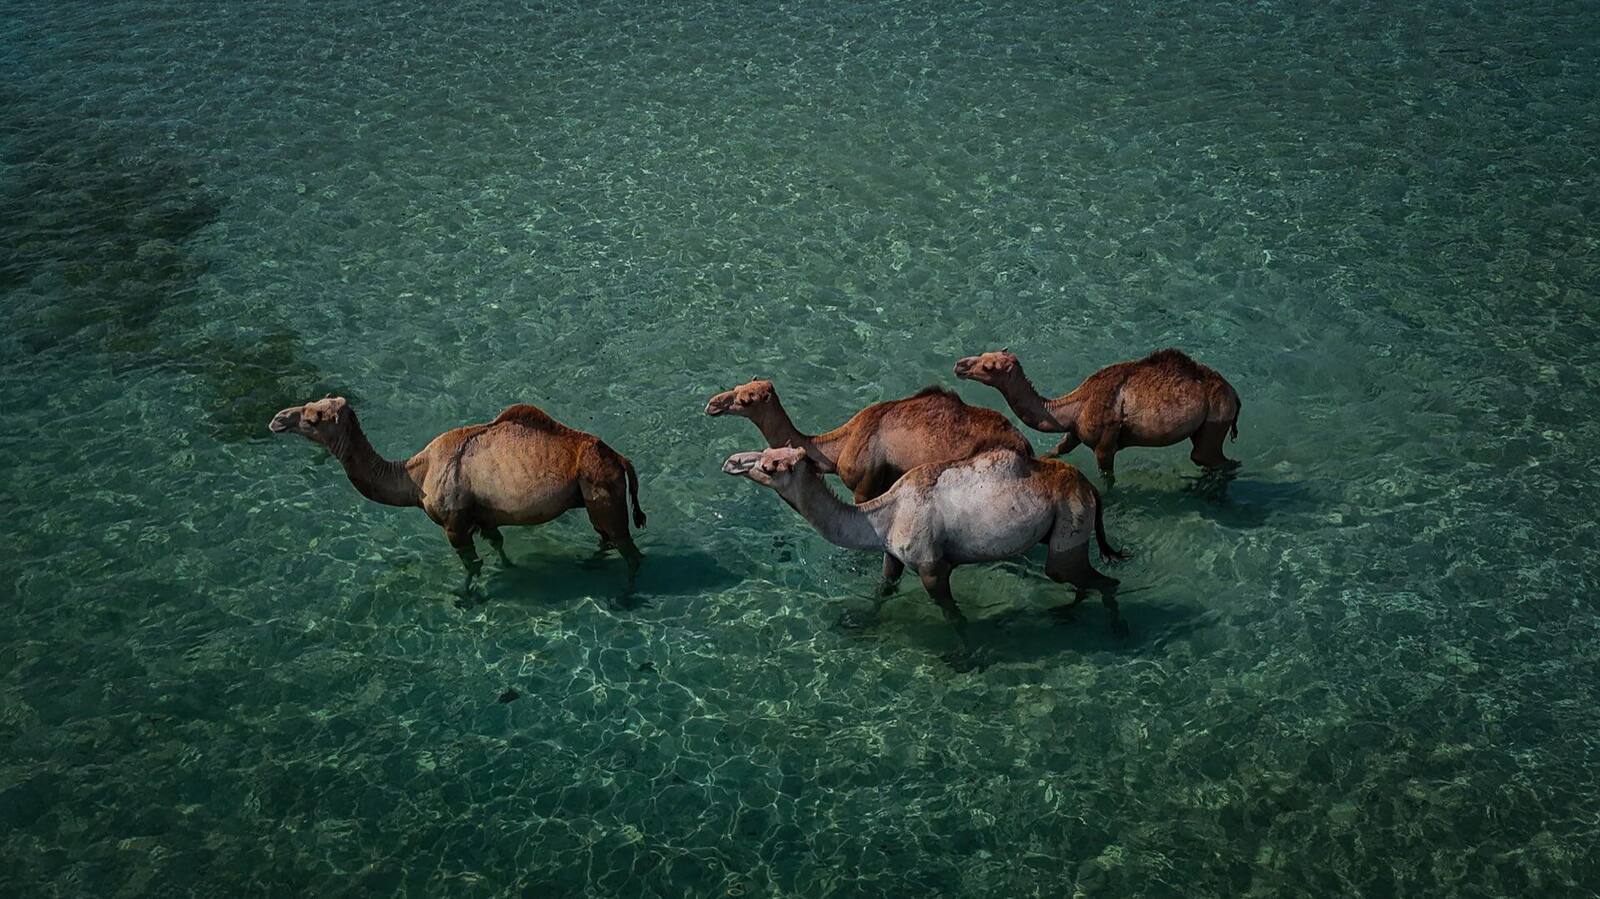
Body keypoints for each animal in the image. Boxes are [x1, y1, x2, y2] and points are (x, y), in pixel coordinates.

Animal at [268, 397, 645, 598]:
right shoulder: (484, 517)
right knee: (606, 537)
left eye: (314, 418)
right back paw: (590, 566)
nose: (277, 420)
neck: (416, 477)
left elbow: (471, 564)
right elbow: (497, 544)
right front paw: (509, 567)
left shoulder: (454, 523)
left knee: (627, 546)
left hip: (603, 490)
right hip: (591, 496)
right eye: (311, 405)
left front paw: (465, 595)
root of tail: (621, 459)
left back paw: (626, 594)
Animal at [705, 379, 1034, 594]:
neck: (836, 447)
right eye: (737, 387)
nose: (712, 404)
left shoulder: (864, 486)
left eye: (746, 400)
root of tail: (1024, 444)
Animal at [722, 446, 1125, 652]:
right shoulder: (892, 554)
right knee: (1079, 579)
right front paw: (858, 621)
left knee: (1098, 579)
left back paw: (1116, 630)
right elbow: (884, 588)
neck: (884, 516)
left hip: (1070, 522)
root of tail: (1091, 488)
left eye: (770, 465)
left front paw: (966, 655)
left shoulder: (933, 566)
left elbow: (953, 615)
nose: (731, 463)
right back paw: (1063, 615)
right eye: (763, 452)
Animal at [954, 348, 1241, 487]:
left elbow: (1107, 477)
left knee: (1211, 458)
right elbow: (1058, 450)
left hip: (1216, 418)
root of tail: (1236, 397)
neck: (1074, 407)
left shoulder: (1105, 445)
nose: (959, 365)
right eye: (984, 354)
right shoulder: (1075, 432)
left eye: (988, 367)